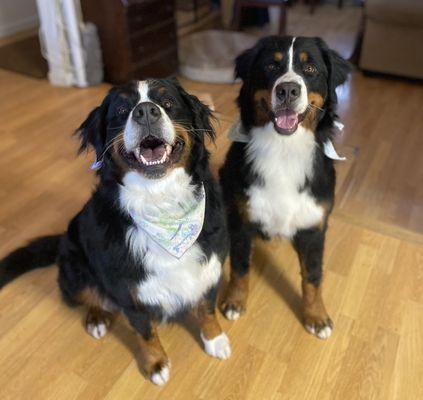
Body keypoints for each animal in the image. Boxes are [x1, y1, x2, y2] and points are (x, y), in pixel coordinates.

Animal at [0, 79, 232, 384]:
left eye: (168, 103)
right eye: (122, 110)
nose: (145, 112)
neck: (161, 202)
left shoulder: (208, 268)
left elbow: (206, 309)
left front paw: (215, 339)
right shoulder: (129, 293)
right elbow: (146, 333)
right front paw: (156, 364)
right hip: (75, 269)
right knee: (88, 296)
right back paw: (97, 318)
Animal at [219, 36, 352, 340]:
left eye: (310, 68)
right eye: (271, 65)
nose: (288, 89)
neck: (283, 150)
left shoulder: (314, 228)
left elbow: (313, 277)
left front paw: (316, 316)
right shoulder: (242, 220)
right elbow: (240, 267)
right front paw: (235, 301)